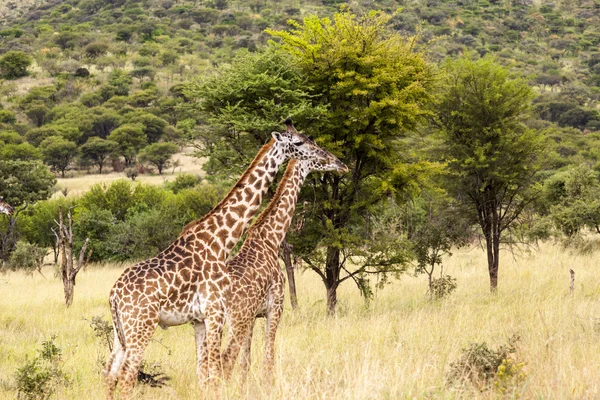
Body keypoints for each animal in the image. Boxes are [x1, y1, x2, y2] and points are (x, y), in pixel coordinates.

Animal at [221, 156, 350, 382]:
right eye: (323, 156)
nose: (344, 167)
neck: (271, 238)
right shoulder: (275, 309)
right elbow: (267, 360)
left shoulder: (253, 316)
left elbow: (246, 363)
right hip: (236, 320)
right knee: (225, 360)